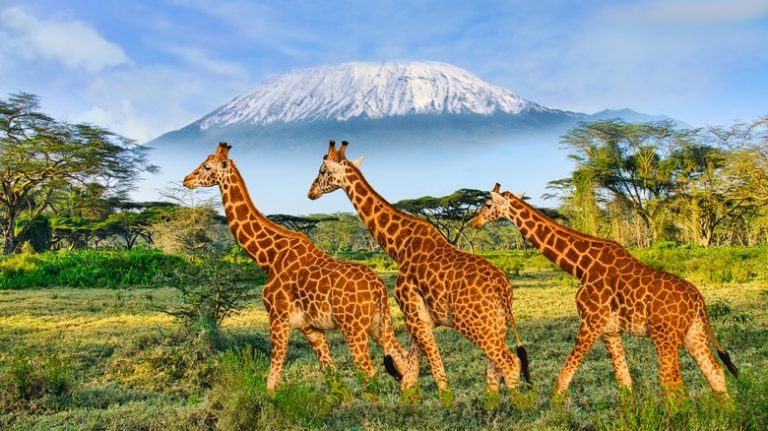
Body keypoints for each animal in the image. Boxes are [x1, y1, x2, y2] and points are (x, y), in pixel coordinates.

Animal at [183, 142, 408, 397]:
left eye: (206, 166)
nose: (186, 179)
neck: (269, 258)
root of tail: (379, 287)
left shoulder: (278, 319)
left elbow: (272, 380)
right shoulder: (311, 328)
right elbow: (332, 376)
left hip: (353, 327)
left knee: (369, 371)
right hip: (379, 323)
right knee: (402, 359)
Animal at [307, 141, 531, 407]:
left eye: (322, 170)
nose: (310, 192)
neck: (399, 246)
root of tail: (502, 287)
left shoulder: (414, 314)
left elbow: (432, 367)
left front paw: (446, 405)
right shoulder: (417, 316)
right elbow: (411, 372)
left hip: (472, 322)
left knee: (509, 361)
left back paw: (519, 406)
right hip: (496, 321)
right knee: (496, 364)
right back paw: (491, 405)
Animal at [471, 183, 739, 402]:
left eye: (487, 204)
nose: (474, 223)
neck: (581, 267)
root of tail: (698, 299)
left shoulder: (591, 322)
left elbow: (563, 378)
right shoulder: (610, 330)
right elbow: (624, 381)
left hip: (665, 336)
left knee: (672, 382)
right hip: (694, 332)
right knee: (715, 372)